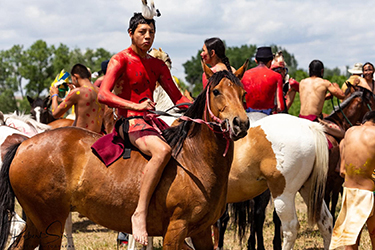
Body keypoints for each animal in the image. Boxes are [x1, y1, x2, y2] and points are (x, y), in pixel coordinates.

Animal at [0, 61, 253, 249]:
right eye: (217, 92)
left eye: (243, 93)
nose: (240, 123)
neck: (194, 160)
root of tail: (24, 144)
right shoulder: (175, 231)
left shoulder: (201, 233)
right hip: (50, 224)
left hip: (37, 224)